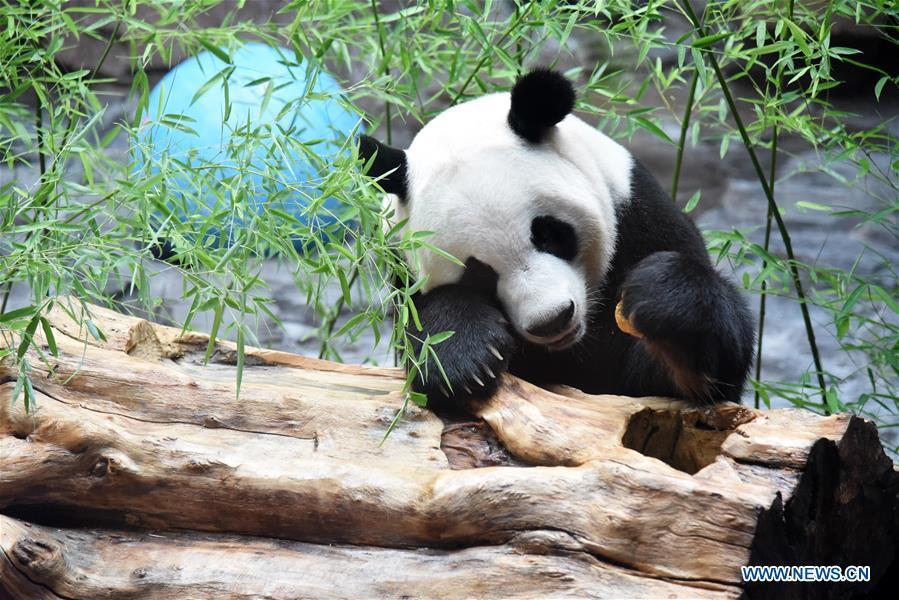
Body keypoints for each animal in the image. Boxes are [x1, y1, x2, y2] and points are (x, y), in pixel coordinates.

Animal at [356, 69, 756, 408]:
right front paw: (464, 357)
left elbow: (677, 384)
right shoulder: (400, 270)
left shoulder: (640, 216)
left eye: (548, 233)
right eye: (479, 273)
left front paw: (664, 305)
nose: (552, 320)